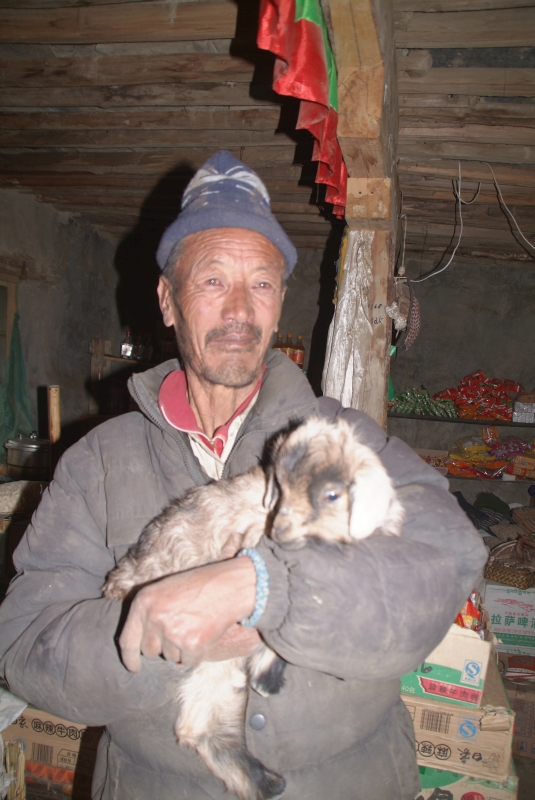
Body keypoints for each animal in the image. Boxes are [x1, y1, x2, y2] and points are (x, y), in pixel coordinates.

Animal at [103, 416, 406, 800]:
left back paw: (266, 779)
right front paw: (267, 672)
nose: (282, 533)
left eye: (332, 495)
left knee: (199, 728)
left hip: (216, 678)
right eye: (281, 488)